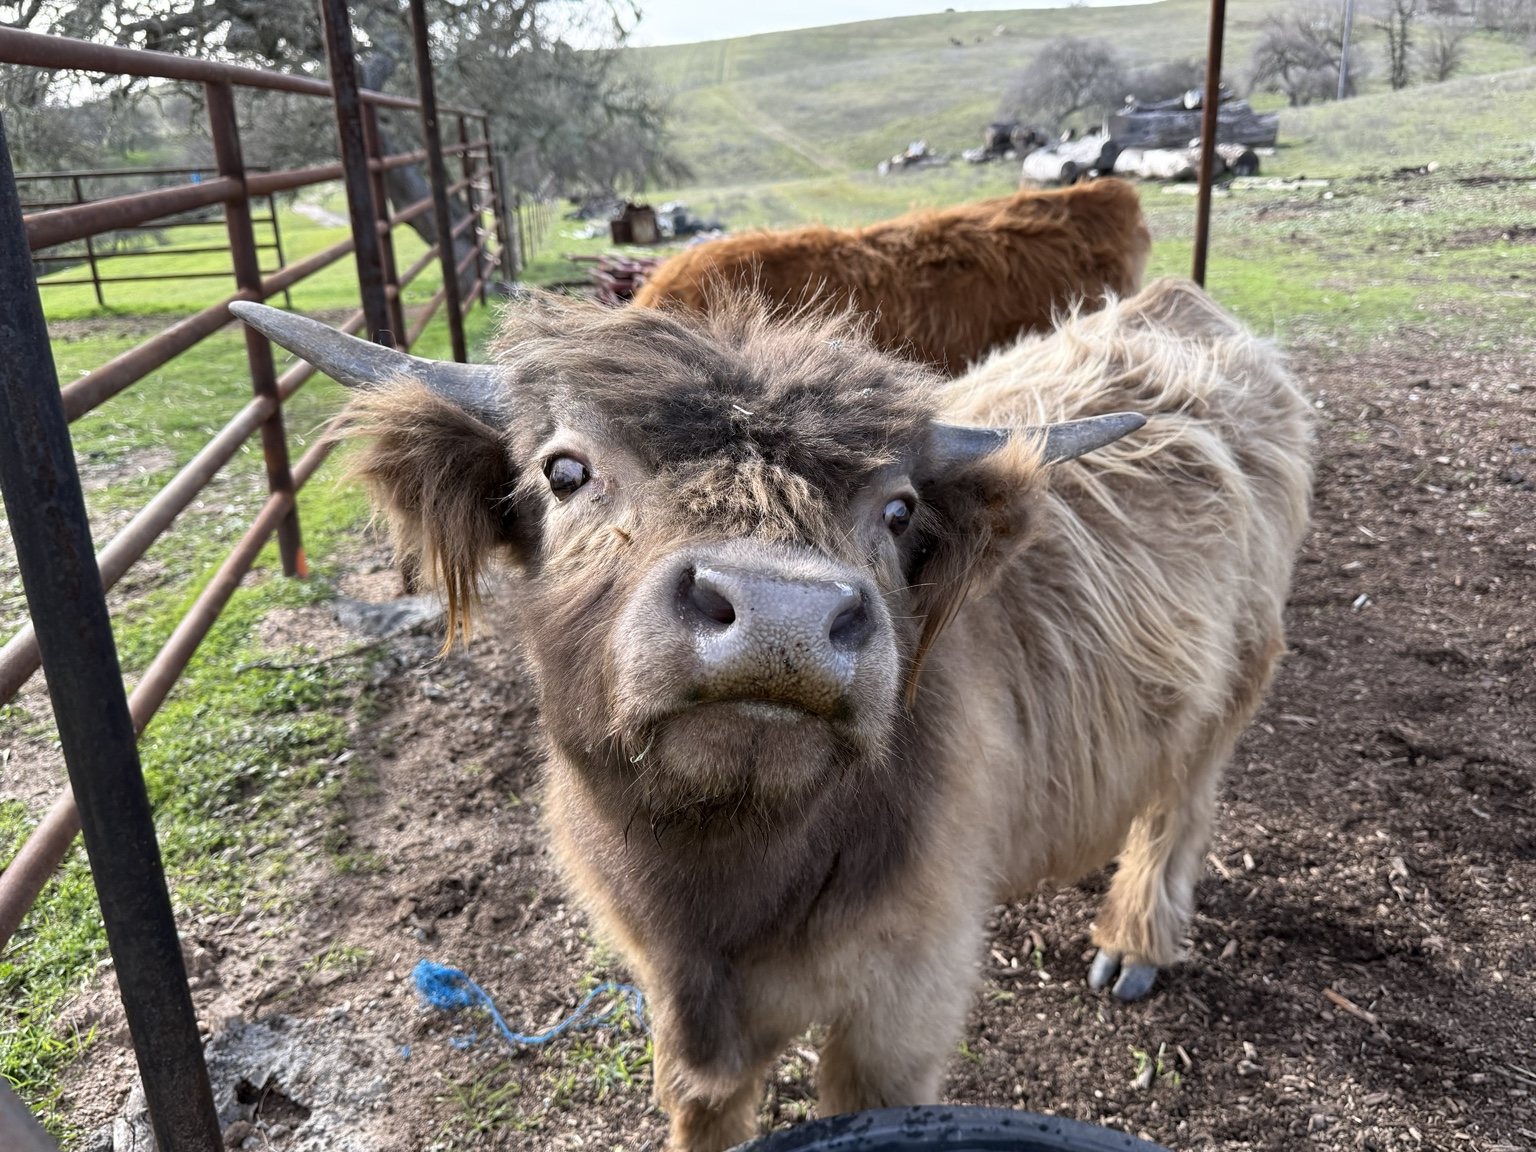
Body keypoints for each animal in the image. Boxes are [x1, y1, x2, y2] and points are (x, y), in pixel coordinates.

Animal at [230, 276, 1312, 1152]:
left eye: (899, 511)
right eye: (565, 470)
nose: (780, 616)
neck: (722, 871)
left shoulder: (905, 1002)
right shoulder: (671, 991)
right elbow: (703, 1106)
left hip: (1239, 679)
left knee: (1182, 804)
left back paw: (1132, 942)